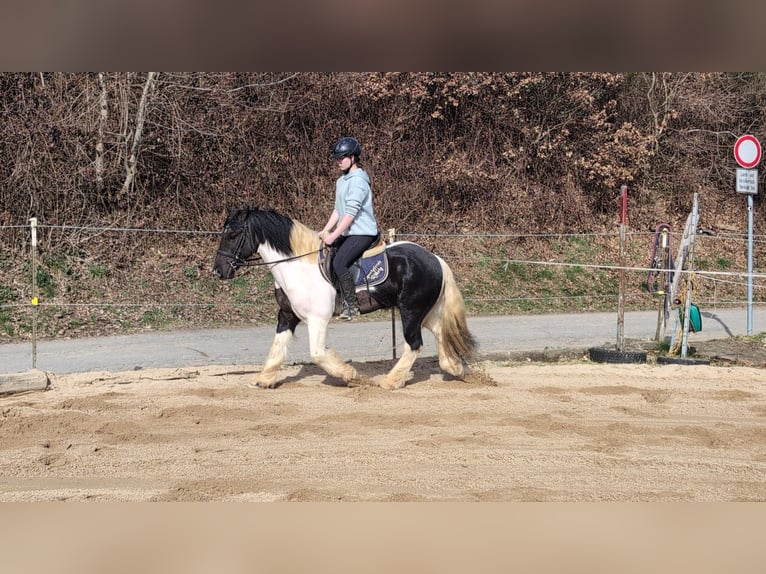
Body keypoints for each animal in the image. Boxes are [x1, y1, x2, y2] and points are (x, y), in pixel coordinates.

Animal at [212, 207, 477, 389]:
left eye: (233, 234)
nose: (218, 271)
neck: (297, 266)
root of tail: (435, 259)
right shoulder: (287, 315)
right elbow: (277, 346)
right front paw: (265, 379)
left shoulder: (318, 319)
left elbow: (318, 353)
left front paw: (349, 375)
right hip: (425, 311)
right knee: (440, 333)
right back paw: (454, 368)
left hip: (410, 311)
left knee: (414, 344)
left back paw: (391, 381)